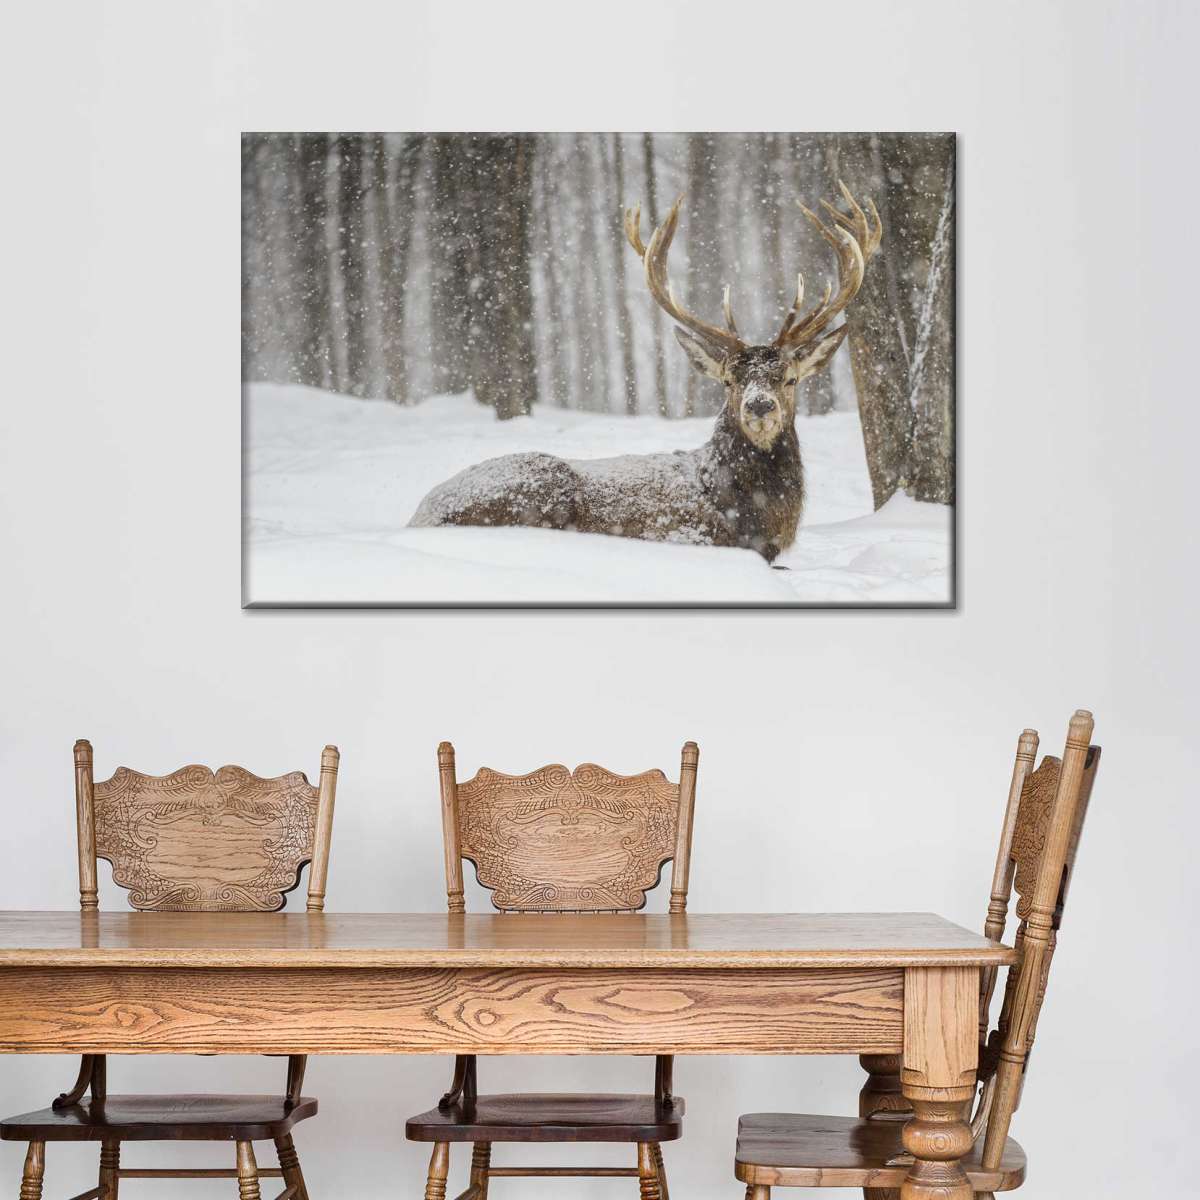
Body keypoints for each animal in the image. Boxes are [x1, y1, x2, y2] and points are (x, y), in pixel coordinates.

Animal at [409, 183, 881, 563]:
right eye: (729, 381)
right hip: (539, 486)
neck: (755, 516)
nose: (760, 407)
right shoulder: (689, 535)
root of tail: (420, 515)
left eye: (791, 378)